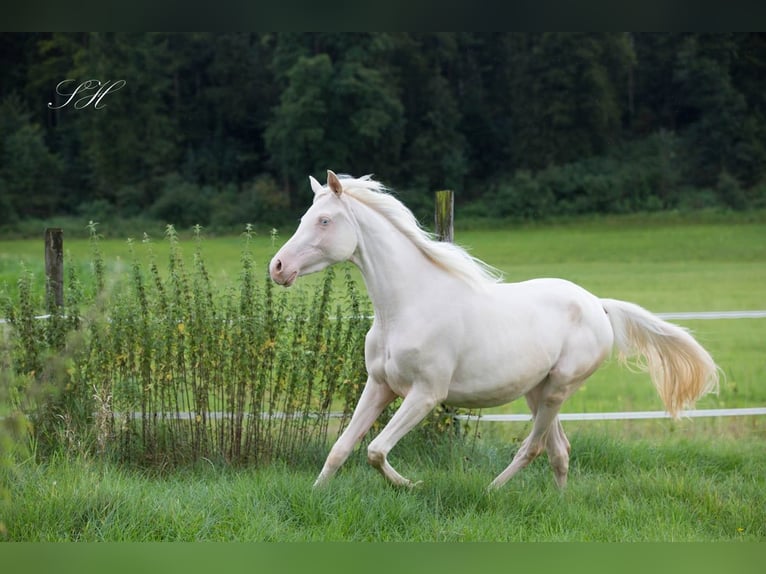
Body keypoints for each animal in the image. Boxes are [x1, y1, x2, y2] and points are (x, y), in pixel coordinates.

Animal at [270, 171, 720, 490]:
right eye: (304, 218)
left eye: (324, 220)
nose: (277, 267)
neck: (406, 306)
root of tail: (599, 305)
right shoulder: (379, 385)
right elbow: (341, 448)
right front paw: (316, 495)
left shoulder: (426, 394)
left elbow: (376, 451)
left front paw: (412, 485)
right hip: (538, 391)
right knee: (560, 450)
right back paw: (558, 504)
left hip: (557, 389)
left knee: (534, 447)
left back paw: (491, 491)